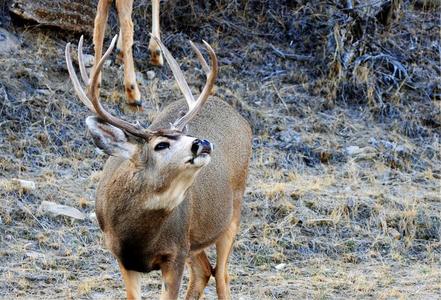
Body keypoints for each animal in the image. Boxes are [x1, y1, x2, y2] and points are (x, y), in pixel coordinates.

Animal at [65, 35, 251, 300]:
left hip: (233, 210)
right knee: (205, 271)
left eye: (188, 135)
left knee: (222, 275)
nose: (202, 143)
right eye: (161, 144)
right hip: (195, 240)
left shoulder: (175, 253)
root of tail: (240, 118)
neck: (138, 237)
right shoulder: (123, 257)